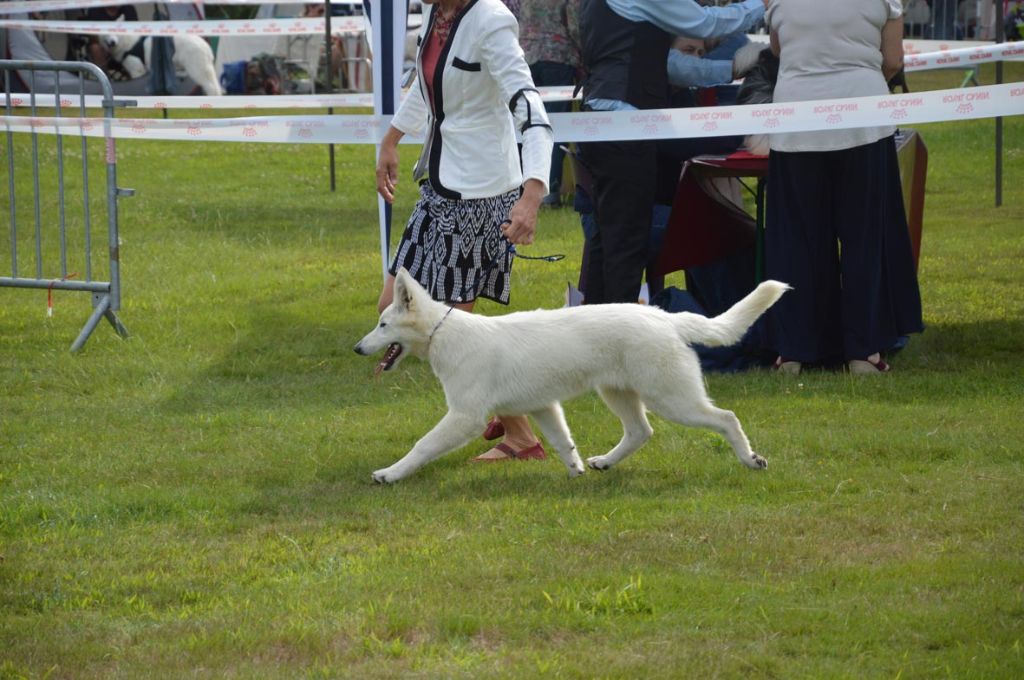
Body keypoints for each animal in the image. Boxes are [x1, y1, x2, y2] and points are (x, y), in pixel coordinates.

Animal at [354, 266, 790, 483]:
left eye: (382, 325)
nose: (358, 349)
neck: (445, 333)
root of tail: (665, 317)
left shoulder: (464, 417)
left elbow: (422, 446)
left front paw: (390, 474)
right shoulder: (544, 407)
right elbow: (564, 442)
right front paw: (575, 471)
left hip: (672, 398)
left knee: (726, 418)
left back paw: (751, 460)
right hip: (619, 393)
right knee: (640, 432)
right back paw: (605, 463)